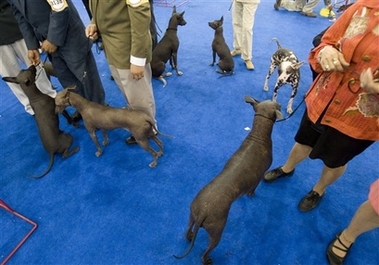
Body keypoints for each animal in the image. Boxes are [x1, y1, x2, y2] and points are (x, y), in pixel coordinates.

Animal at [174, 96, 284, 262]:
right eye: (277, 105)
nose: (280, 102)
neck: (258, 135)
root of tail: (203, 212)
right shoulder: (258, 177)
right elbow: (253, 188)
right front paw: (251, 195)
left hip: (192, 215)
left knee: (188, 230)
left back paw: (190, 235)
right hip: (217, 231)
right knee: (206, 251)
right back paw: (207, 260)